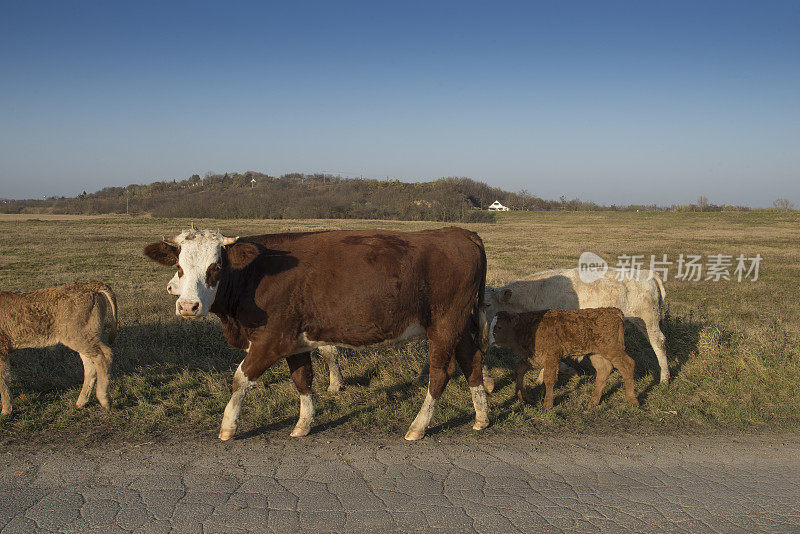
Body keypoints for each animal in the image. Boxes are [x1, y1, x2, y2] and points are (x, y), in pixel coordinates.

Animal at [0, 282, 117, 416]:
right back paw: (81, 402)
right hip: (84, 337)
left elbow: (2, 380)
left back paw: (104, 400)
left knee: (104, 354)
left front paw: (6, 411)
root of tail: (90, 285)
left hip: (79, 336)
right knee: (90, 365)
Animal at [146, 228, 490, 442]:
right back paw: (481, 417)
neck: (255, 275)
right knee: (472, 360)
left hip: (444, 325)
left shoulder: (272, 340)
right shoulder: (295, 341)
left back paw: (418, 426)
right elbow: (303, 380)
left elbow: (240, 379)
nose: (187, 306)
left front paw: (228, 426)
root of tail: (459, 233)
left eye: (216, 267)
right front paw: (304, 423)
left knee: (440, 372)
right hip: (459, 326)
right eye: (179, 266)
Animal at [488, 310, 636, 410]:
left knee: (628, 365)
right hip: (596, 353)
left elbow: (549, 379)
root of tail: (612, 311)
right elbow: (519, 370)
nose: (489, 341)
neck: (529, 327)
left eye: (499, 326)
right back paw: (592, 402)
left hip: (612, 349)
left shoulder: (552, 357)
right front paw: (522, 396)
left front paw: (547, 405)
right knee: (604, 370)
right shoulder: (533, 358)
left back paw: (632, 399)